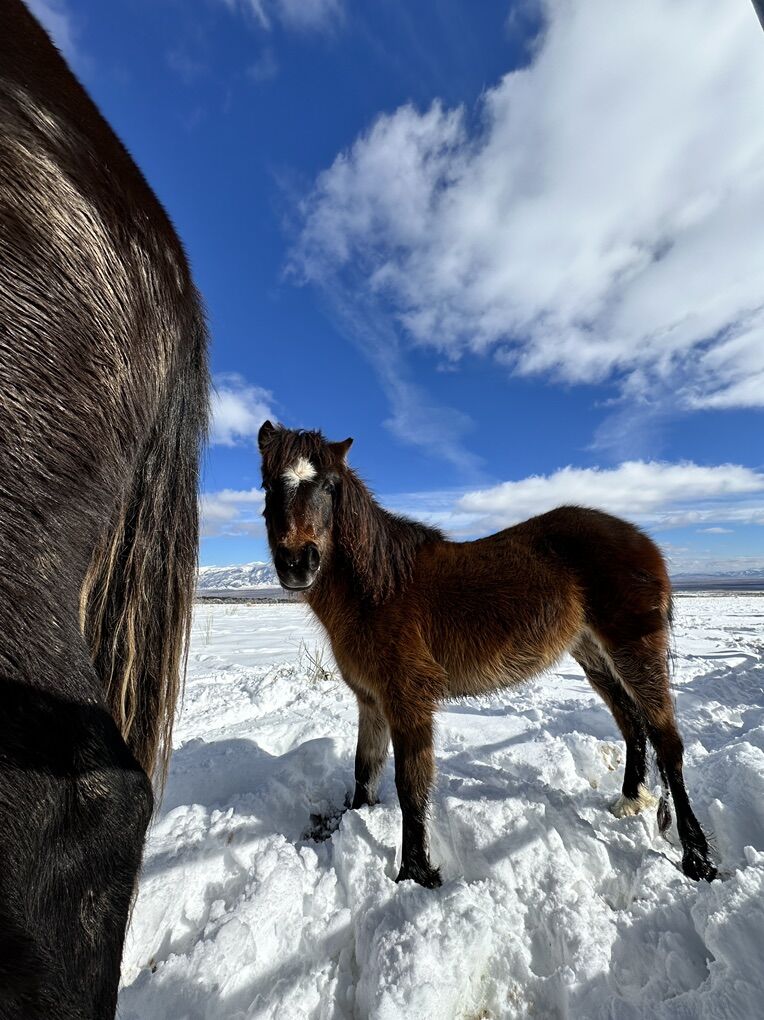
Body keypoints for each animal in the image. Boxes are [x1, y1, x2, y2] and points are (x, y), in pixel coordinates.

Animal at [258, 421, 716, 889]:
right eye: (269, 485)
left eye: (330, 486)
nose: (298, 563)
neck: (378, 588)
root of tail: (643, 541)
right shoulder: (371, 701)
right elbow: (364, 770)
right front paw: (350, 827)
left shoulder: (408, 701)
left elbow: (410, 785)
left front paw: (415, 874)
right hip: (594, 656)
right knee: (632, 724)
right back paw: (628, 801)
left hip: (634, 651)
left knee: (667, 740)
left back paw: (697, 858)